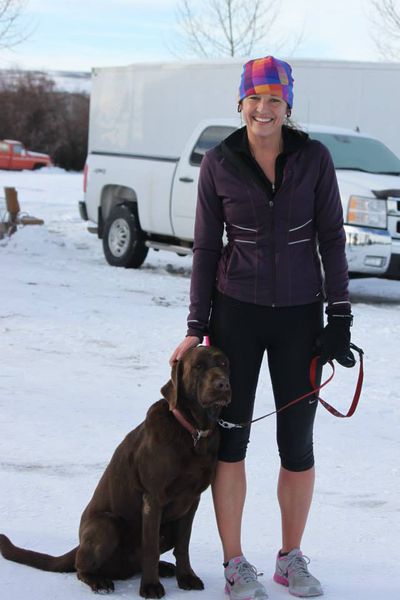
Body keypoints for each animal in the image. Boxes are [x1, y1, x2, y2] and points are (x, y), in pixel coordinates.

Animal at [0, 344, 230, 596]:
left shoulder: (191, 500)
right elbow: (150, 547)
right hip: (107, 525)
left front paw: (186, 577)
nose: (223, 384)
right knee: (82, 567)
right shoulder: (153, 497)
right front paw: (150, 586)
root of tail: (78, 545)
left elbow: (183, 544)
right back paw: (100, 581)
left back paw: (164, 567)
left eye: (223, 363)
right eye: (198, 366)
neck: (194, 432)